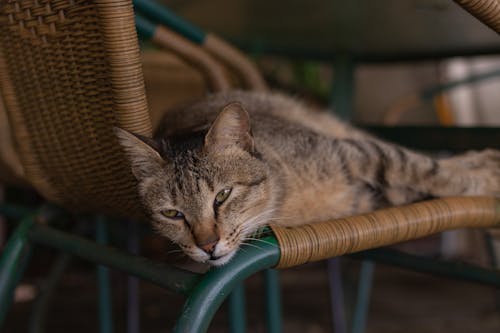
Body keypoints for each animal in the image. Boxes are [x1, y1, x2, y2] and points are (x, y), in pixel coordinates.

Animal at [116, 90, 500, 264]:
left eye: (222, 196)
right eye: (172, 214)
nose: (207, 246)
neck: (287, 198)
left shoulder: (358, 153)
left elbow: (423, 166)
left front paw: (482, 179)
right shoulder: (368, 194)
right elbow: (421, 178)